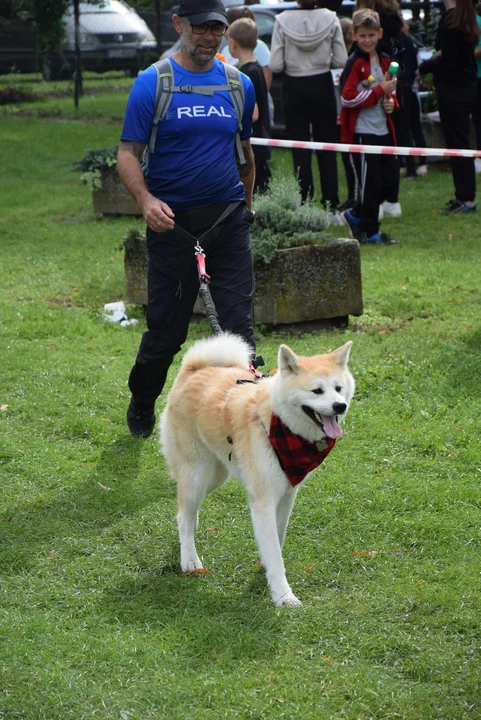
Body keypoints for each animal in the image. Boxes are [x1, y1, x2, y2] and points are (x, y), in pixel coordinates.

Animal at [160, 334, 352, 604]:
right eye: (317, 391)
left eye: (338, 389)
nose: (339, 406)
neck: (276, 423)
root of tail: (193, 368)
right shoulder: (263, 500)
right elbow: (273, 549)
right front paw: (283, 596)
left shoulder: (287, 493)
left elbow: (278, 537)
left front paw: (267, 569)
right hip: (197, 474)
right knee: (183, 515)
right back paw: (189, 559)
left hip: (216, 475)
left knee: (187, 512)